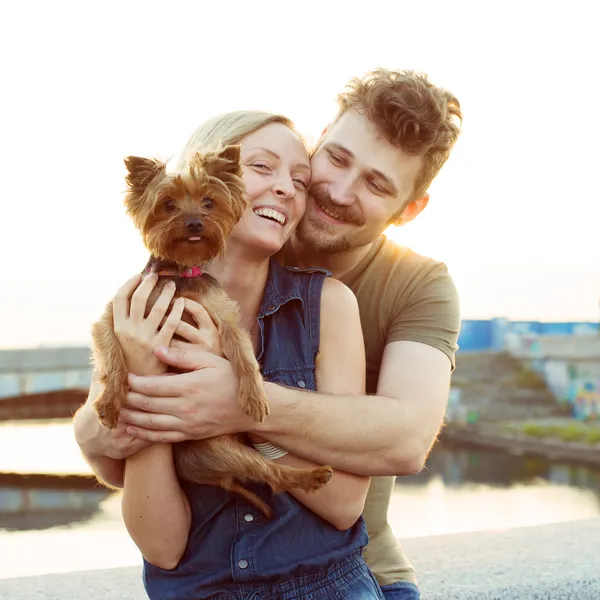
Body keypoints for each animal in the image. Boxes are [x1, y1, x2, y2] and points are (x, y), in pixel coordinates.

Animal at [89, 145, 332, 516]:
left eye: (208, 202)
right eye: (168, 205)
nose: (194, 222)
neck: (181, 275)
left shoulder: (224, 318)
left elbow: (243, 355)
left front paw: (255, 395)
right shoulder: (113, 316)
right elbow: (113, 355)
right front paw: (109, 402)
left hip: (228, 450)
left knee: (272, 474)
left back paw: (313, 476)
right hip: (215, 453)